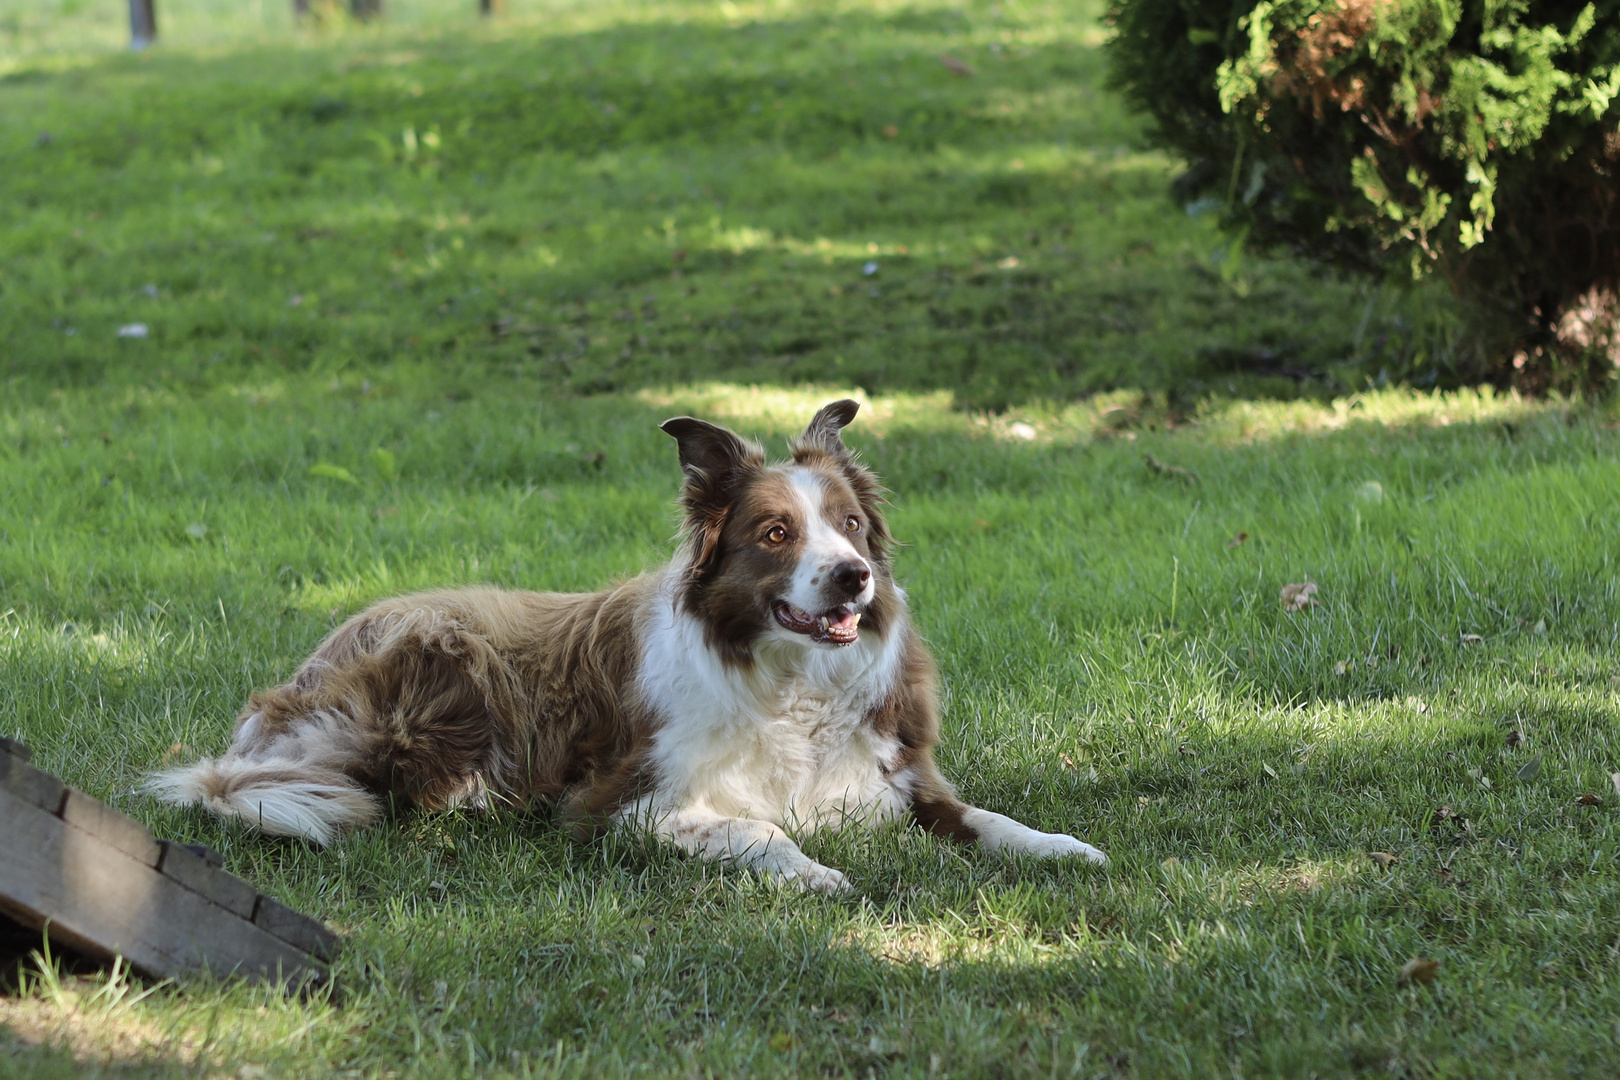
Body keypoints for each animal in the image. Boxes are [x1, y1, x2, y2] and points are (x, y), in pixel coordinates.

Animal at [152, 401, 1108, 893]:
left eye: (848, 526)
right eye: (774, 533)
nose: (852, 579)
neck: (795, 686)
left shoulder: (903, 778)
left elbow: (987, 819)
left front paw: (1065, 849)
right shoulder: (623, 804)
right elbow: (756, 829)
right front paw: (814, 874)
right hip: (450, 653)